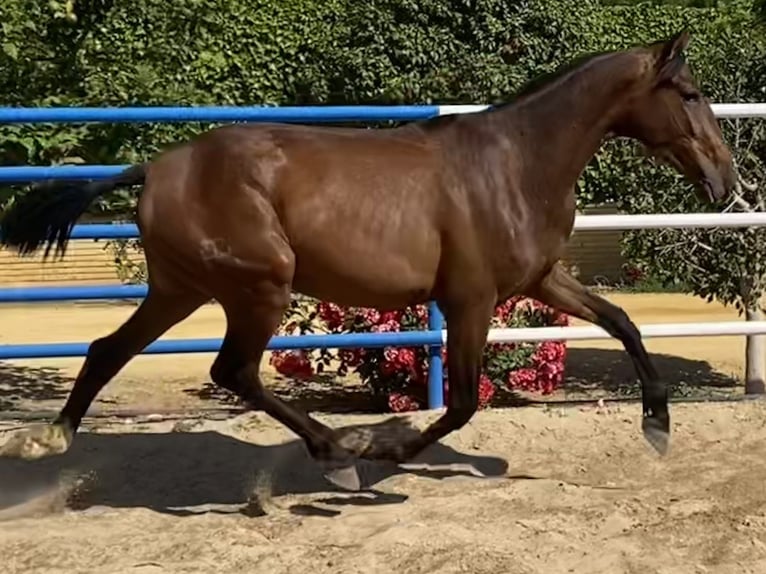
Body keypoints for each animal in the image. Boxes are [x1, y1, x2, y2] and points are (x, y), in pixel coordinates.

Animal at [0, 30, 736, 490]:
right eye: (690, 94)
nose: (727, 181)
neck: (515, 163)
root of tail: (153, 168)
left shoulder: (541, 279)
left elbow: (623, 322)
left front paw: (658, 426)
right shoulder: (470, 300)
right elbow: (462, 403)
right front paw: (385, 453)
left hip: (182, 288)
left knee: (109, 349)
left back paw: (50, 440)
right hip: (259, 286)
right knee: (231, 370)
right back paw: (339, 454)